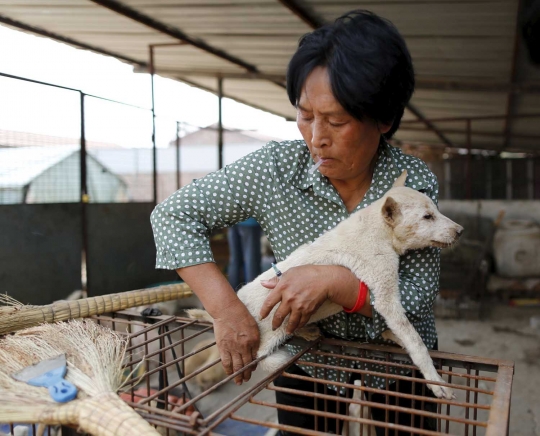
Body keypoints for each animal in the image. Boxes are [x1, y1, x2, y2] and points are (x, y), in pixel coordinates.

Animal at [188, 170, 462, 398]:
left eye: (435, 210)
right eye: (427, 216)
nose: (460, 230)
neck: (378, 230)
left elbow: (401, 331)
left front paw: (390, 335)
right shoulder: (385, 294)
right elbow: (416, 342)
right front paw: (437, 384)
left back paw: (307, 330)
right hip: (270, 331)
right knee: (261, 357)